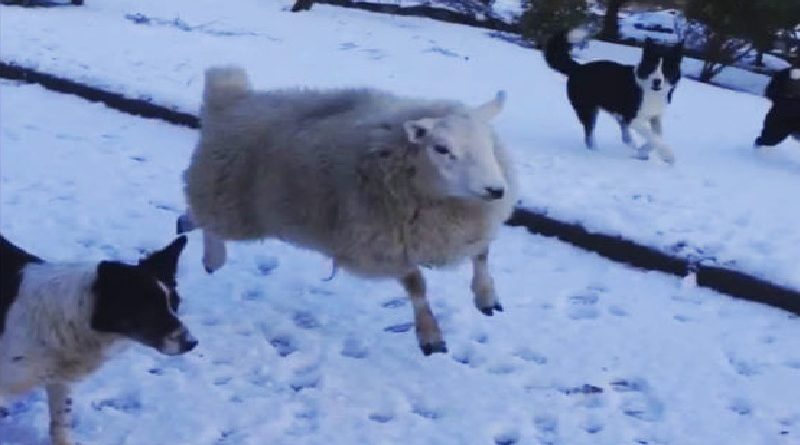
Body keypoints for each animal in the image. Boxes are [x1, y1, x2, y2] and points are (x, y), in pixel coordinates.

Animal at [179, 66, 520, 354]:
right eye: (441, 148)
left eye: (488, 143)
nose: (496, 190)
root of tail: (230, 100)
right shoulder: (377, 248)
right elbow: (417, 284)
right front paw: (430, 336)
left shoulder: (467, 227)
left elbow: (482, 254)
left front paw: (486, 297)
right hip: (229, 205)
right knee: (202, 219)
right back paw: (212, 256)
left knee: (193, 218)